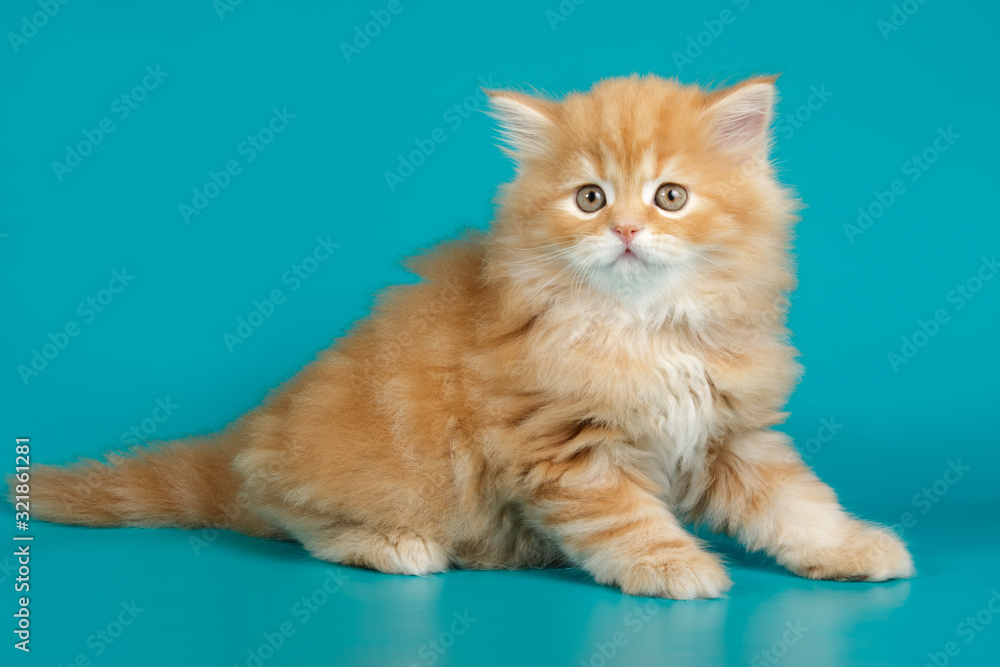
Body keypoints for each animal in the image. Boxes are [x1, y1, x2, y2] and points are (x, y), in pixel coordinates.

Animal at [23, 74, 916, 600]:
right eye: (590, 198)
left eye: (670, 195)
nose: (626, 230)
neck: (643, 328)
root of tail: (251, 426)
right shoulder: (564, 446)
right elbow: (625, 518)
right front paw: (675, 565)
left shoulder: (731, 431)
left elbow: (797, 505)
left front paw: (853, 547)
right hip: (357, 474)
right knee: (290, 515)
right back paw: (394, 545)